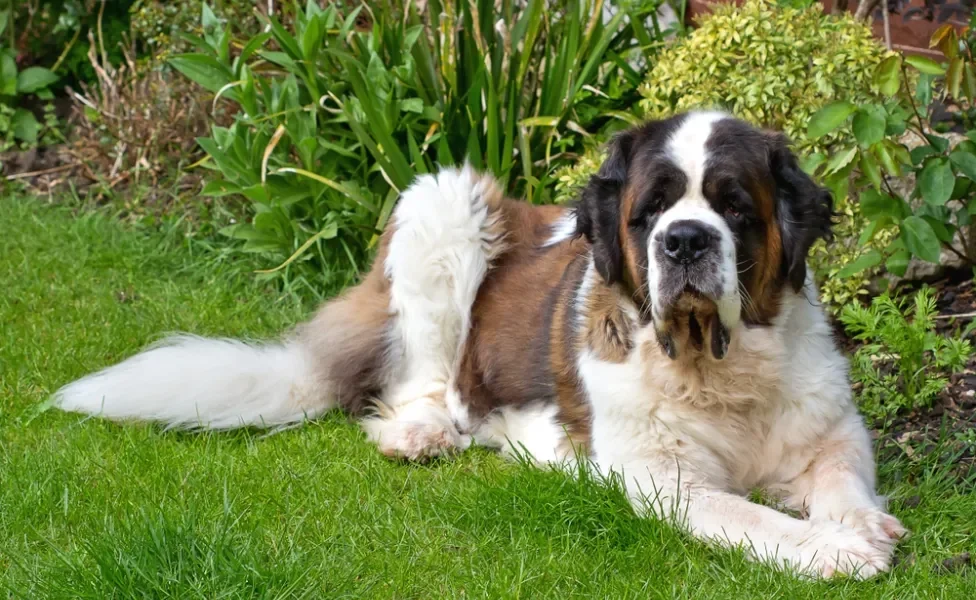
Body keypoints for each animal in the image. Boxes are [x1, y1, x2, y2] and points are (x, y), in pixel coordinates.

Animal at [55, 111, 908, 576]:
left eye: (734, 207)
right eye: (651, 212)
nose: (687, 241)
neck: (716, 369)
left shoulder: (833, 427)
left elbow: (840, 473)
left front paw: (859, 522)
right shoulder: (661, 478)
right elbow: (751, 517)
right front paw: (833, 550)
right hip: (442, 204)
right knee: (421, 385)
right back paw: (423, 432)